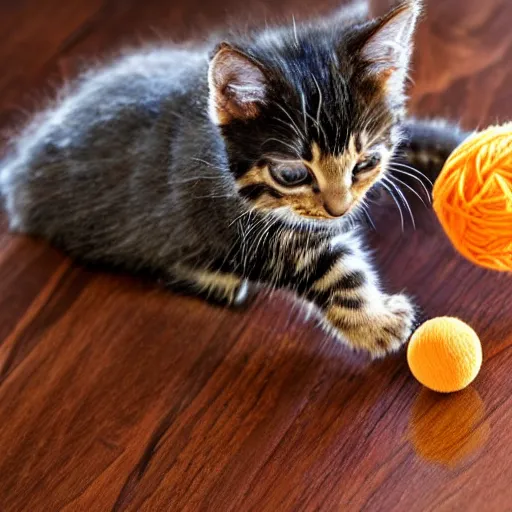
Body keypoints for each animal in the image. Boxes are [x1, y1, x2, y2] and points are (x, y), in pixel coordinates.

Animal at [0, 0, 464, 358]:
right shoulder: (229, 220)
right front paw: (376, 321)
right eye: (292, 174)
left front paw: (469, 152)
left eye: (365, 162)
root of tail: (20, 166)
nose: (339, 209)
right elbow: (322, 264)